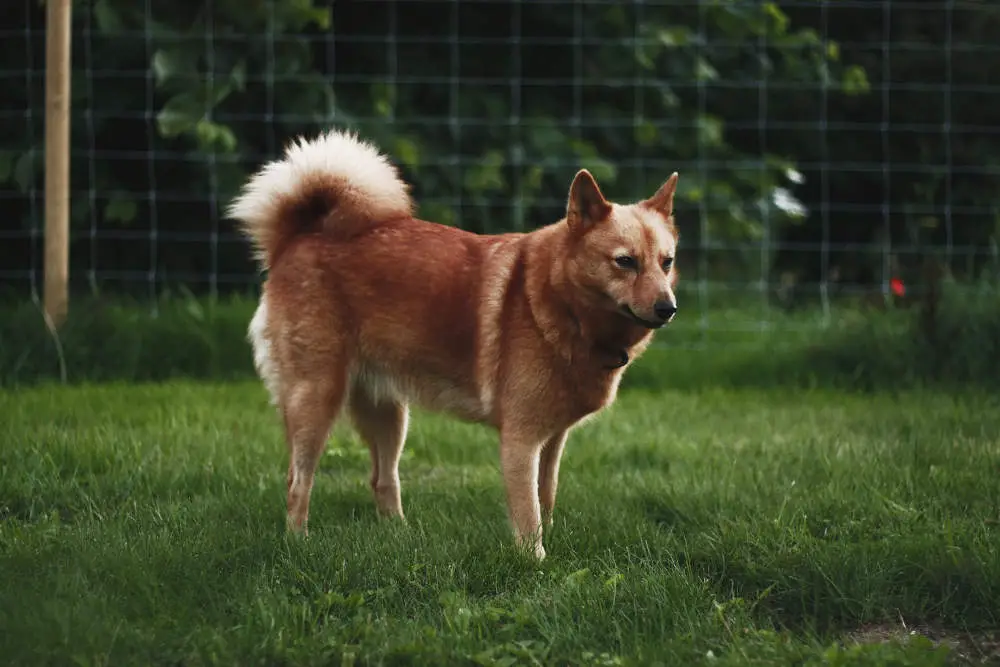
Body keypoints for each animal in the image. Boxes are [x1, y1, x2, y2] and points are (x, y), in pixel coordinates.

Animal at [229, 129, 680, 560]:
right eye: (625, 261)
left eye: (667, 262)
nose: (668, 308)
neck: (560, 304)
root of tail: (299, 236)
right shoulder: (520, 442)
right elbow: (529, 513)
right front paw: (536, 563)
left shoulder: (552, 442)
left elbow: (546, 497)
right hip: (316, 400)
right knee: (297, 480)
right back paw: (298, 543)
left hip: (389, 414)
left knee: (381, 479)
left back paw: (400, 537)